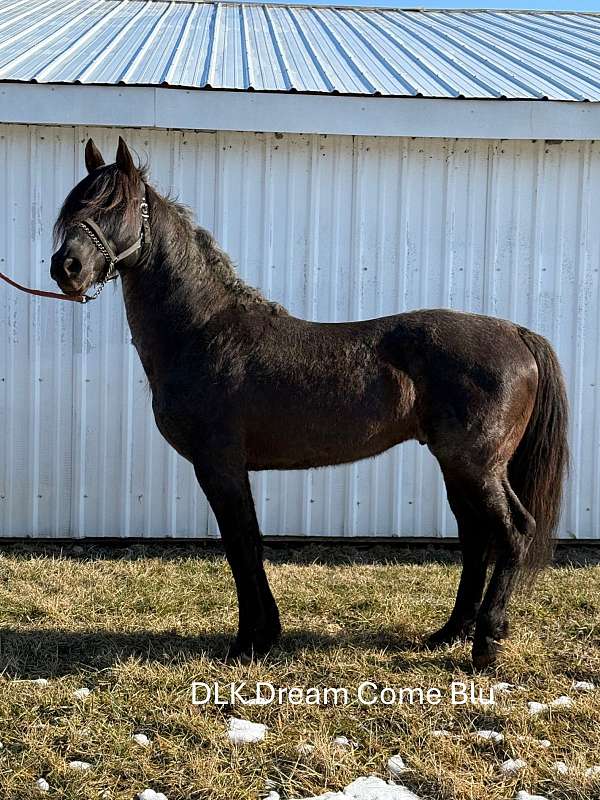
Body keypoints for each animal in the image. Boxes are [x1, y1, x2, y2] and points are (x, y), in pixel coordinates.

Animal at [50, 139, 568, 668]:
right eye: (75, 207)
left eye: (119, 206)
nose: (66, 268)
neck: (204, 331)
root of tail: (516, 333)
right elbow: (250, 544)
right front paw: (264, 635)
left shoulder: (219, 465)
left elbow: (241, 545)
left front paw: (248, 642)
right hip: (458, 466)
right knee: (476, 538)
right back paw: (448, 633)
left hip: (477, 466)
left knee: (513, 533)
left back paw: (486, 644)